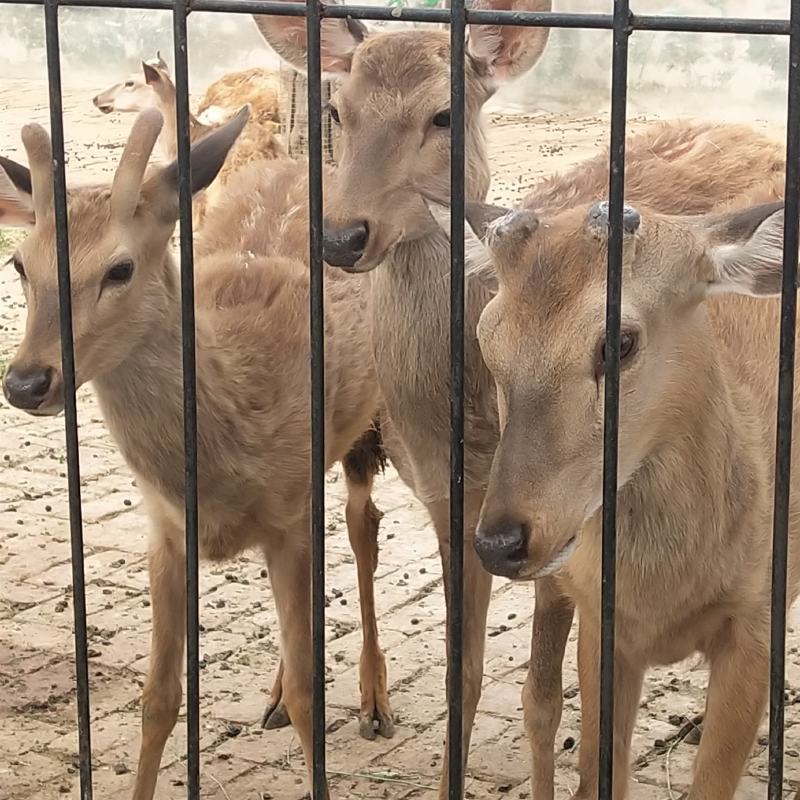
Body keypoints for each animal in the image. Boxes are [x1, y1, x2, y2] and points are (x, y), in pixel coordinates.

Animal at [0, 107, 393, 800]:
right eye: (21, 263)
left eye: (120, 268)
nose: (25, 382)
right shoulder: (164, 530)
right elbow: (158, 697)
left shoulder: (288, 519)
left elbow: (309, 694)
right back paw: (273, 697)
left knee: (362, 522)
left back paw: (374, 701)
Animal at [253, 2, 551, 794]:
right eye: (338, 109)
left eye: (444, 113)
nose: (343, 235)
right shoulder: (449, 496)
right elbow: (464, 667)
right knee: (342, 526)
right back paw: (313, 697)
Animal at [434, 117, 797, 800]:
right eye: (487, 336)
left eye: (620, 342)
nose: (498, 541)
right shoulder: (603, 624)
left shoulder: (759, 618)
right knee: (538, 699)